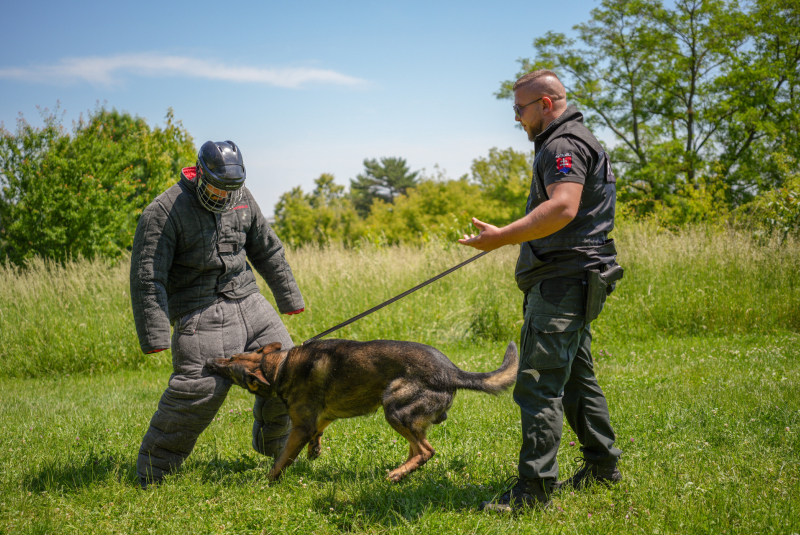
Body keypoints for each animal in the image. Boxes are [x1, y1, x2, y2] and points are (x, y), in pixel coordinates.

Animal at [206, 342, 520, 484]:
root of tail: (452, 372)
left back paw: (397, 474)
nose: (210, 361)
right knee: (417, 449)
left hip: (394, 408)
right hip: (405, 417)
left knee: (426, 450)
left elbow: (282, 458)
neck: (279, 366)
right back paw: (402, 472)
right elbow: (318, 430)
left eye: (230, 368)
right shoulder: (323, 416)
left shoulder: (300, 426)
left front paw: (266, 480)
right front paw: (314, 450)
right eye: (231, 356)